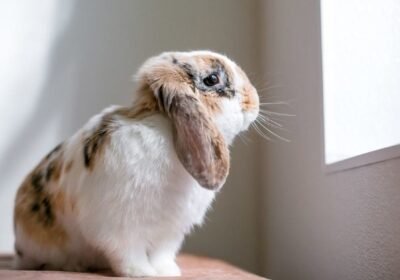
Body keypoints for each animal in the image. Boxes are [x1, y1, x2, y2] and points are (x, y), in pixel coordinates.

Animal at [13, 49, 260, 276]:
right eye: (212, 79)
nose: (254, 100)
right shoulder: (120, 227)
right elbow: (129, 253)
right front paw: (142, 273)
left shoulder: (170, 231)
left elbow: (161, 254)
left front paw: (168, 272)